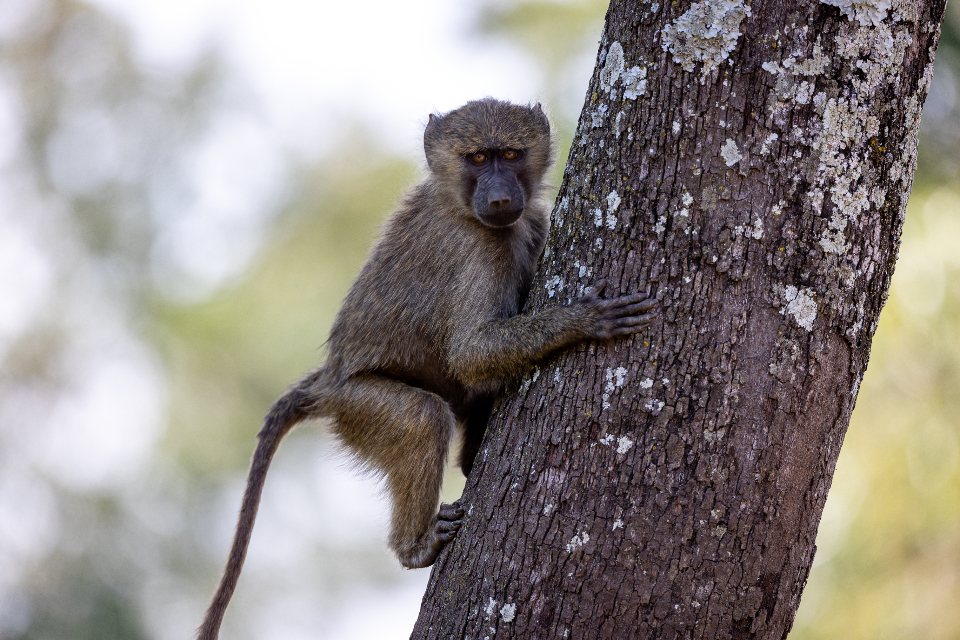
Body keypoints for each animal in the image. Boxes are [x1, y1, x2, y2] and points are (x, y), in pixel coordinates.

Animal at [198, 98, 657, 640]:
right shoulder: (478, 249)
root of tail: (327, 379)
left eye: (510, 153)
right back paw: (415, 547)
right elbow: (470, 353)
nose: (500, 198)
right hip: (357, 403)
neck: (461, 204)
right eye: (477, 158)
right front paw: (583, 320)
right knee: (421, 417)